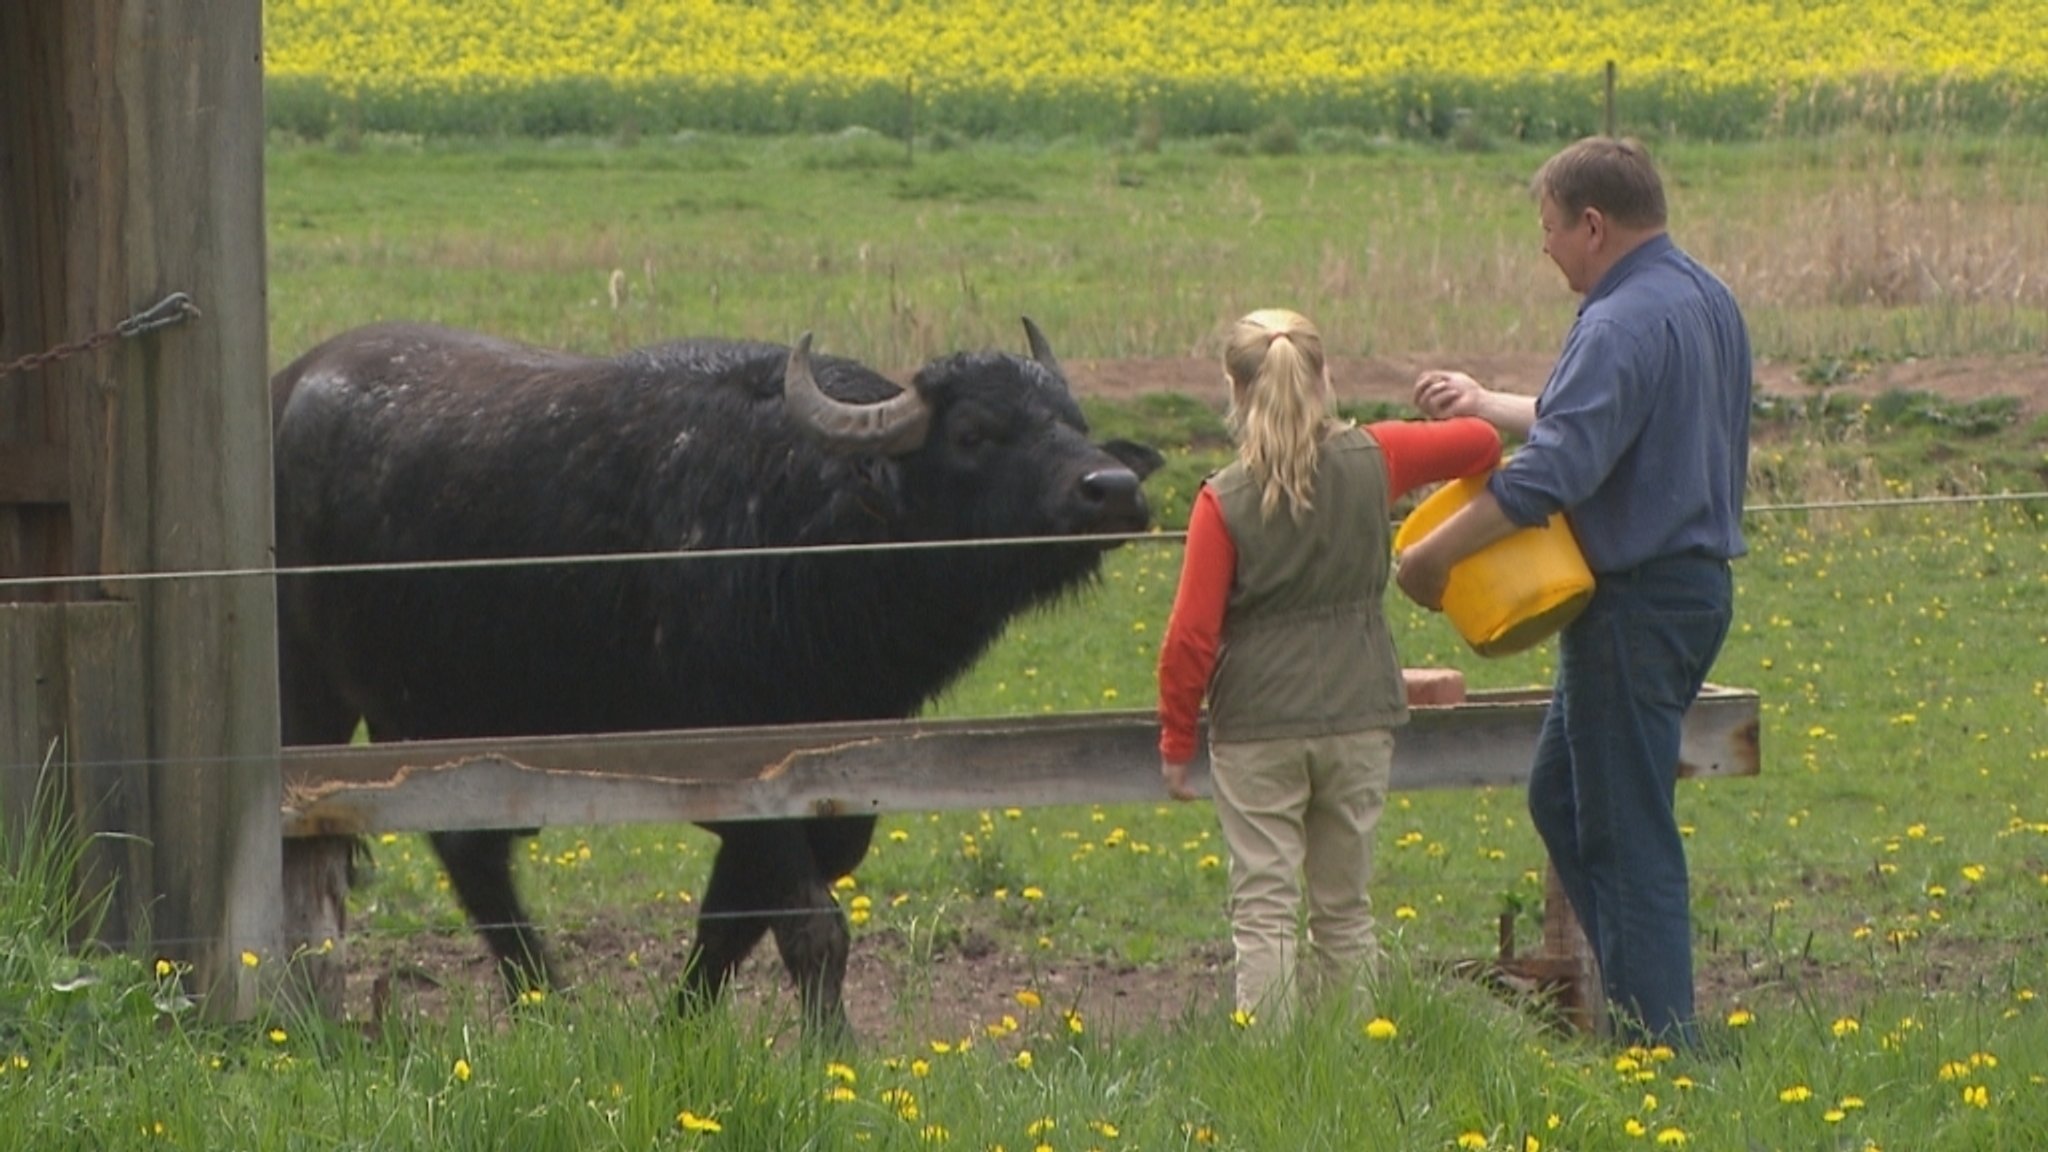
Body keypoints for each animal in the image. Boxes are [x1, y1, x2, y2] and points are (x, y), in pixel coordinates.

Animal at [272, 319, 1163, 1033]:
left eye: (1074, 422)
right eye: (975, 432)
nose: (1114, 489)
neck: (805, 531)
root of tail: (287, 387)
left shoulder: (835, 795)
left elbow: (730, 920)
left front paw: (682, 1026)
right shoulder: (746, 779)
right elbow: (810, 925)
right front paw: (829, 1049)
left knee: (469, 850)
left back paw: (546, 1003)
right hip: (311, 702)